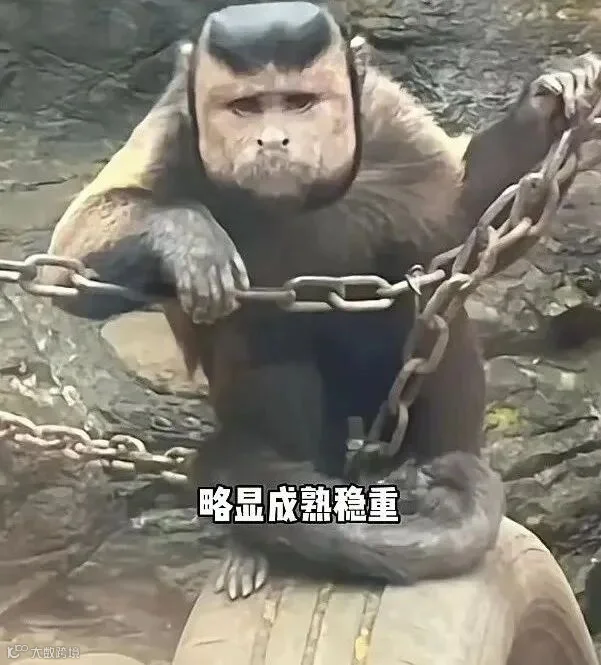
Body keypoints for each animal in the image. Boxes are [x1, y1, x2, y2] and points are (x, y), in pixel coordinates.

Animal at [41, 1, 601, 600]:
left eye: (298, 103)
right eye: (245, 108)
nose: (272, 140)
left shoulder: (386, 121)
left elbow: (466, 223)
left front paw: (543, 109)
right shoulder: (171, 128)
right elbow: (67, 275)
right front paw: (188, 235)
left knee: (434, 324)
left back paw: (440, 471)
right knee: (268, 346)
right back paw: (260, 540)